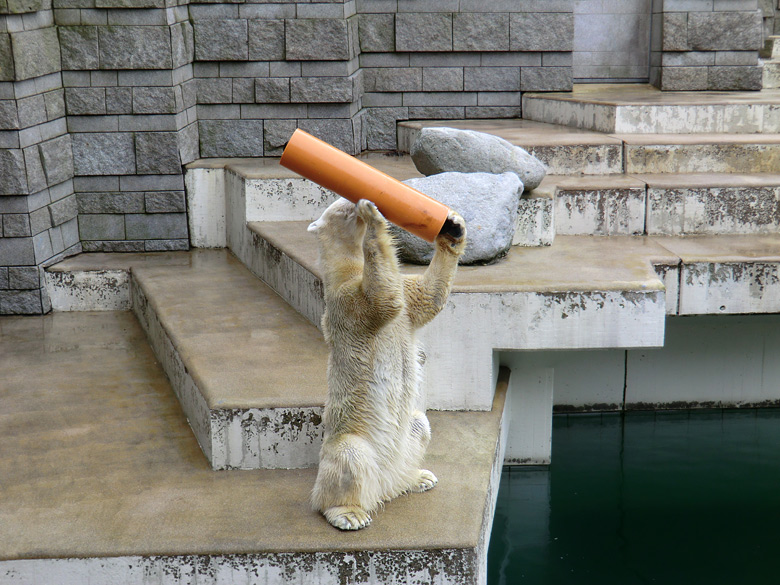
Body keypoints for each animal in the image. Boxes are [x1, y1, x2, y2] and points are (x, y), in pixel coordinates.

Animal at [308, 198, 466, 532]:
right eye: (339, 208)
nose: (350, 202)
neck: (345, 271)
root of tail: (379, 487)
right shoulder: (346, 304)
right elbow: (381, 299)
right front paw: (374, 216)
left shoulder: (406, 296)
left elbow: (428, 295)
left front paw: (454, 225)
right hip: (351, 441)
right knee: (349, 457)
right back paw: (349, 514)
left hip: (404, 443)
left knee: (419, 423)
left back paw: (418, 477)